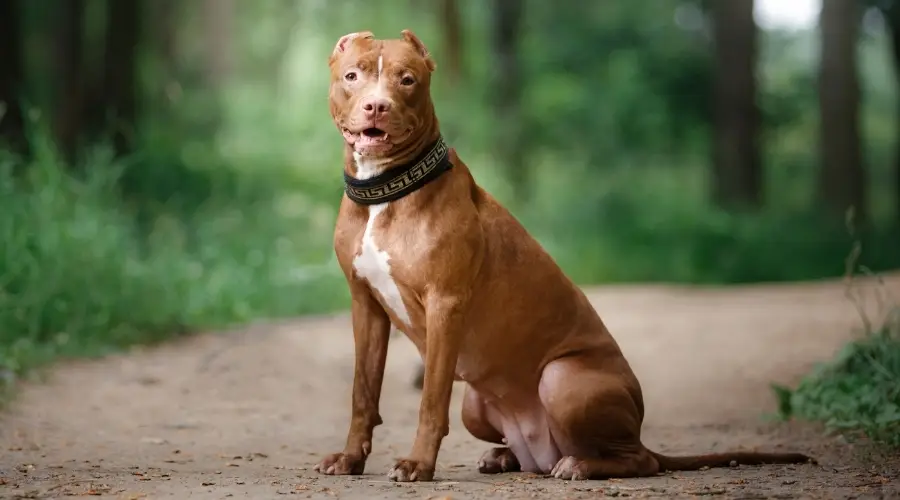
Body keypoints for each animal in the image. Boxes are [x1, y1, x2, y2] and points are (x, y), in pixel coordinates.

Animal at [312, 30, 812, 480]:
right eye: (353, 76)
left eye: (407, 80)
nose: (377, 106)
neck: (385, 193)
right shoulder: (366, 305)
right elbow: (362, 394)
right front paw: (350, 459)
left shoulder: (445, 305)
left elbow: (431, 401)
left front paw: (418, 464)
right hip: (476, 404)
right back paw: (506, 458)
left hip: (563, 380)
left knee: (637, 459)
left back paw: (580, 465)